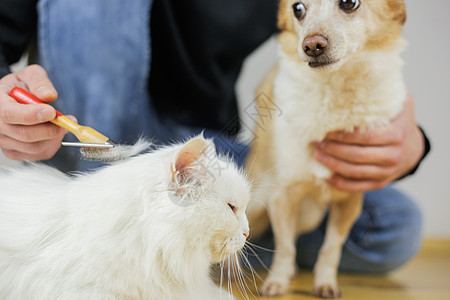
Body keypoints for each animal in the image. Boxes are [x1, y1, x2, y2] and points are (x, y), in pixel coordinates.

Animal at [246, 0, 408, 298]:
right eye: (298, 9)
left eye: (349, 3)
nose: (312, 45)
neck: (335, 90)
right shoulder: (282, 195)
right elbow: (284, 247)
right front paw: (277, 282)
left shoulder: (349, 202)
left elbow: (330, 248)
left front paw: (325, 283)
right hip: (255, 201)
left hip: (309, 215)